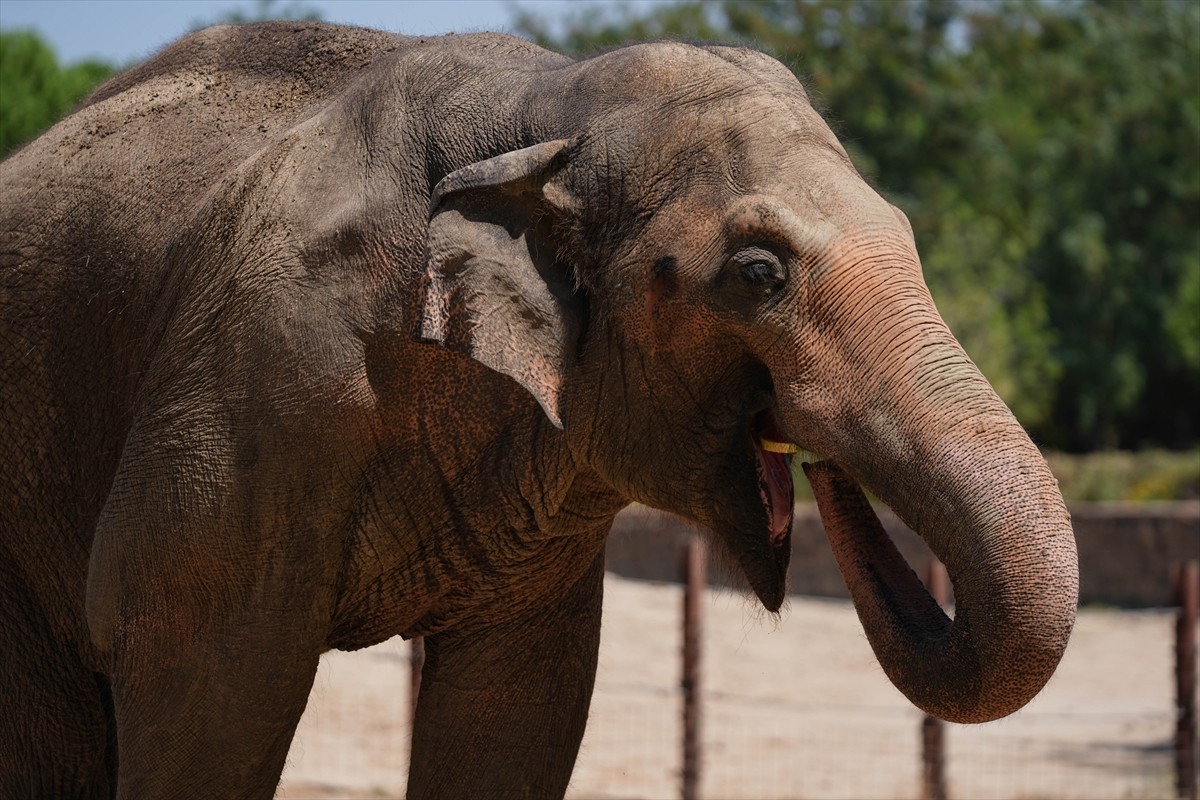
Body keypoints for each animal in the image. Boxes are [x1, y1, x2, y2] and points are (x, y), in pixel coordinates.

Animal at [0, 18, 1080, 800]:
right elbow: (210, 684)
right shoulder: (259, 376)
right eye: (758, 273)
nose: (821, 467)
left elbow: (513, 707)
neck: (546, 103)